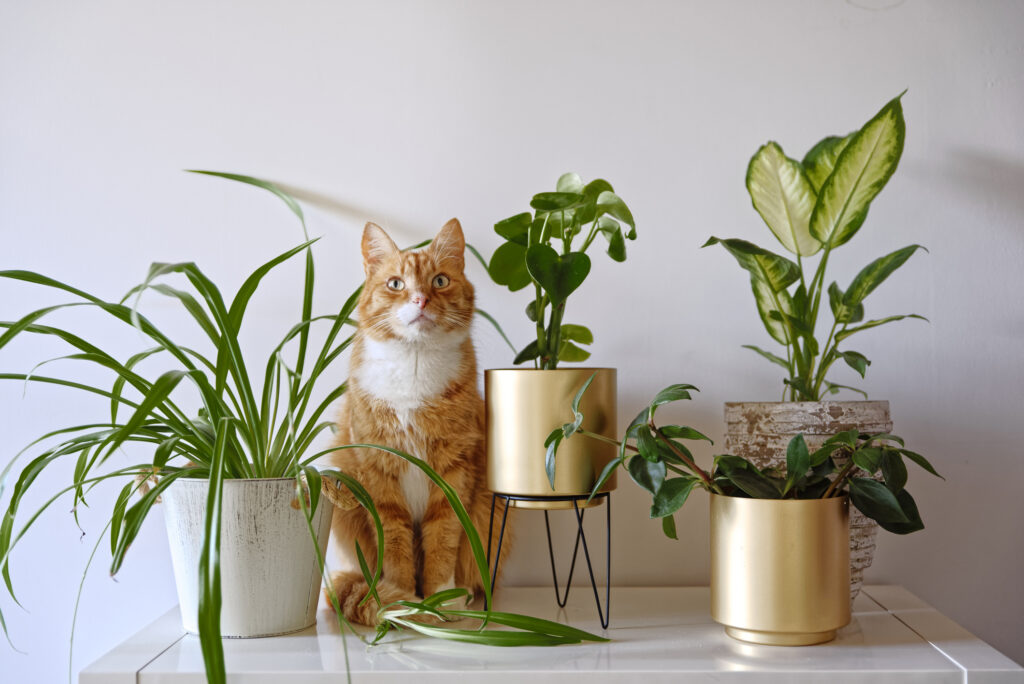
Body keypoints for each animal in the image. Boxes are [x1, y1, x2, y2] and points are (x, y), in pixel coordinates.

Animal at [323, 219, 491, 626]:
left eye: (440, 281)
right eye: (396, 284)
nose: (421, 301)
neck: (413, 366)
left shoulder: (453, 470)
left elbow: (443, 536)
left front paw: (441, 600)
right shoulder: (378, 470)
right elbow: (394, 540)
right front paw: (400, 601)